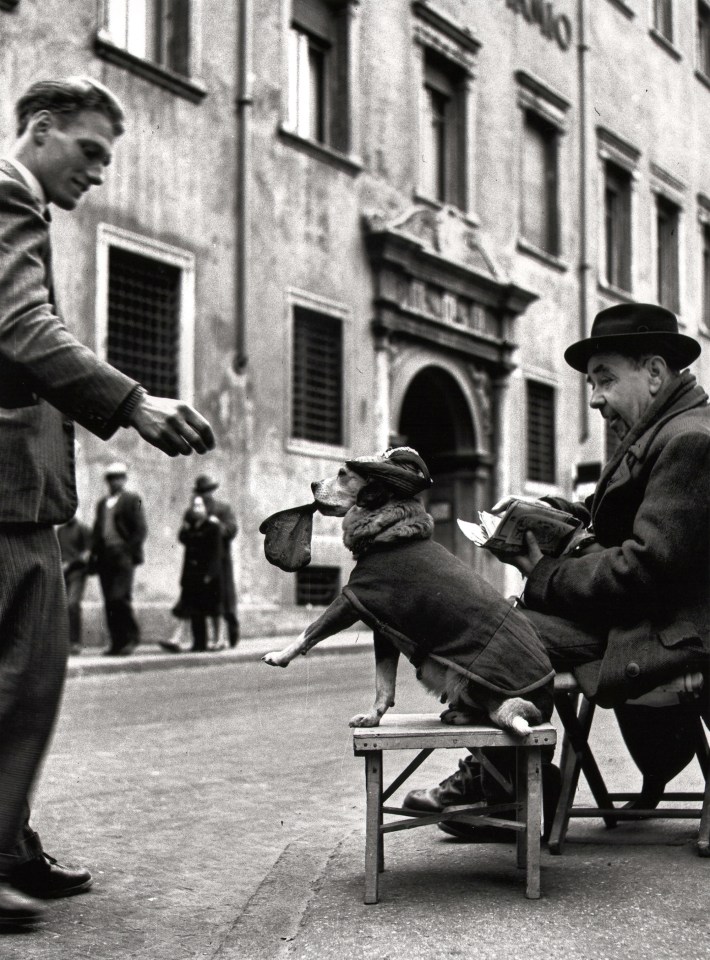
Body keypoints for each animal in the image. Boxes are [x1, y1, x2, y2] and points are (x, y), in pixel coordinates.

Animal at [262, 450, 556, 736]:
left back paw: (463, 715)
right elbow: (384, 684)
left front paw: (279, 656)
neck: (390, 532)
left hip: (465, 679)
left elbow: (309, 631)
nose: (313, 484)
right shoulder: (383, 631)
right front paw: (373, 718)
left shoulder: (350, 601)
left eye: (343, 474)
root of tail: (546, 704)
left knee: (497, 712)